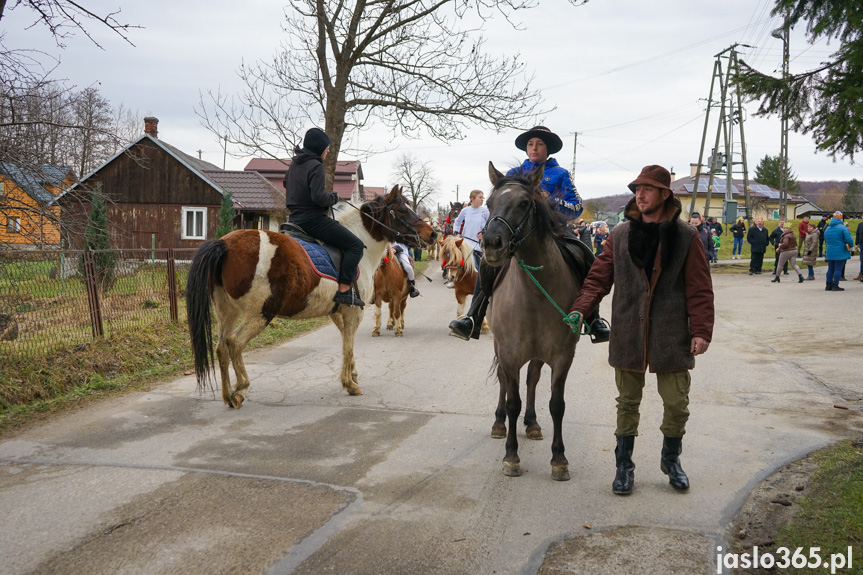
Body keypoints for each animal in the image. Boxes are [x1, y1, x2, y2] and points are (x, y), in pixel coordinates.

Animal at [186, 187, 436, 408]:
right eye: (402, 210)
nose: (432, 234)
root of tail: (225, 243)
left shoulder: (338, 312)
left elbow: (347, 343)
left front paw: (352, 375)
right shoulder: (354, 311)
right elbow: (348, 345)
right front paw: (350, 384)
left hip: (226, 312)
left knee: (221, 347)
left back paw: (227, 395)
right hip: (259, 313)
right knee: (234, 343)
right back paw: (240, 389)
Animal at [482, 163, 584, 482]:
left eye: (525, 203)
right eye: (488, 203)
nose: (491, 244)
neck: (536, 292)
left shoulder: (563, 355)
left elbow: (556, 404)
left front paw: (559, 459)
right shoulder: (509, 353)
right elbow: (512, 400)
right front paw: (511, 456)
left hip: (538, 353)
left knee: (533, 379)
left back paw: (532, 423)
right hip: (499, 346)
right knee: (506, 382)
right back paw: (499, 423)